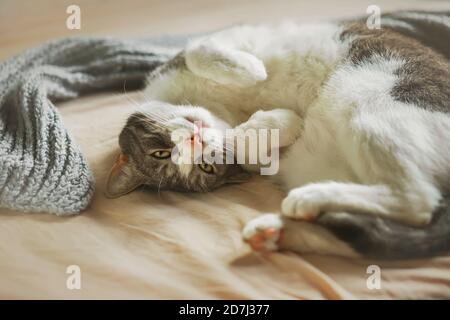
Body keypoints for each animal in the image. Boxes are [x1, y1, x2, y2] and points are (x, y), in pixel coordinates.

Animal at [106, 10, 450, 260]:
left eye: (160, 152)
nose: (195, 142)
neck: (220, 107)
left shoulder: (226, 37)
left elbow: (198, 49)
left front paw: (251, 71)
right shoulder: (260, 159)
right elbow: (246, 145)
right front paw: (279, 121)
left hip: (372, 107)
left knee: (413, 205)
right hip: (329, 150)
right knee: (405, 211)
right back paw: (281, 225)